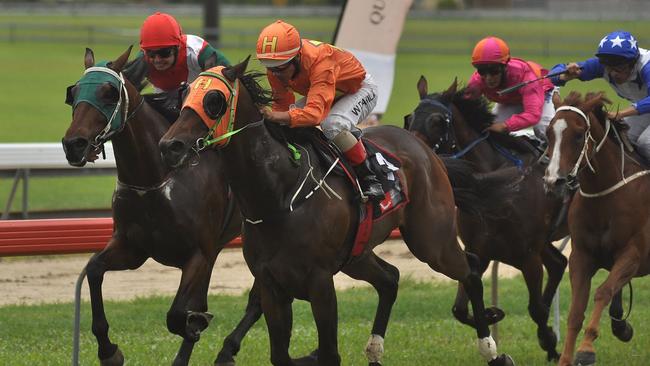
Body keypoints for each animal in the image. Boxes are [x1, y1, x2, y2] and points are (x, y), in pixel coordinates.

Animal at [60, 46, 243, 366]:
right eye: (74, 92)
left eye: (109, 93)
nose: (74, 144)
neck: (155, 177)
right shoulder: (134, 247)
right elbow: (94, 269)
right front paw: (109, 351)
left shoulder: (199, 253)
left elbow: (178, 314)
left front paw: (195, 323)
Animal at [157, 60, 512, 366]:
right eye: (184, 96)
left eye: (214, 100)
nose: (170, 146)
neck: (278, 195)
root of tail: (425, 149)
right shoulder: (273, 285)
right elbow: (281, 355)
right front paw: (196, 322)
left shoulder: (320, 283)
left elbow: (329, 354)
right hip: (357, 256)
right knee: (390, 279)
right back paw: (375, 349)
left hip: (431, 240)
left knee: (469, 270)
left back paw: (492, 349)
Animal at [404, 76, 568, 360]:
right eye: (410, 118)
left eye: (437, 121)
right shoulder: (480, 250)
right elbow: (459, 309)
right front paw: (493, 313)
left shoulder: (527, 256)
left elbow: (536, 309)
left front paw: (549, 340)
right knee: (559, 263)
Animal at [540, 91, 644, 366]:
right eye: (548, 133)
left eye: (579, 134)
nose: (554, 182)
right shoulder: (582, 256)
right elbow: (576, 311)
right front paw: (565, 358)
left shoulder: (634, 254)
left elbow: (603, 291)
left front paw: (586, 349)